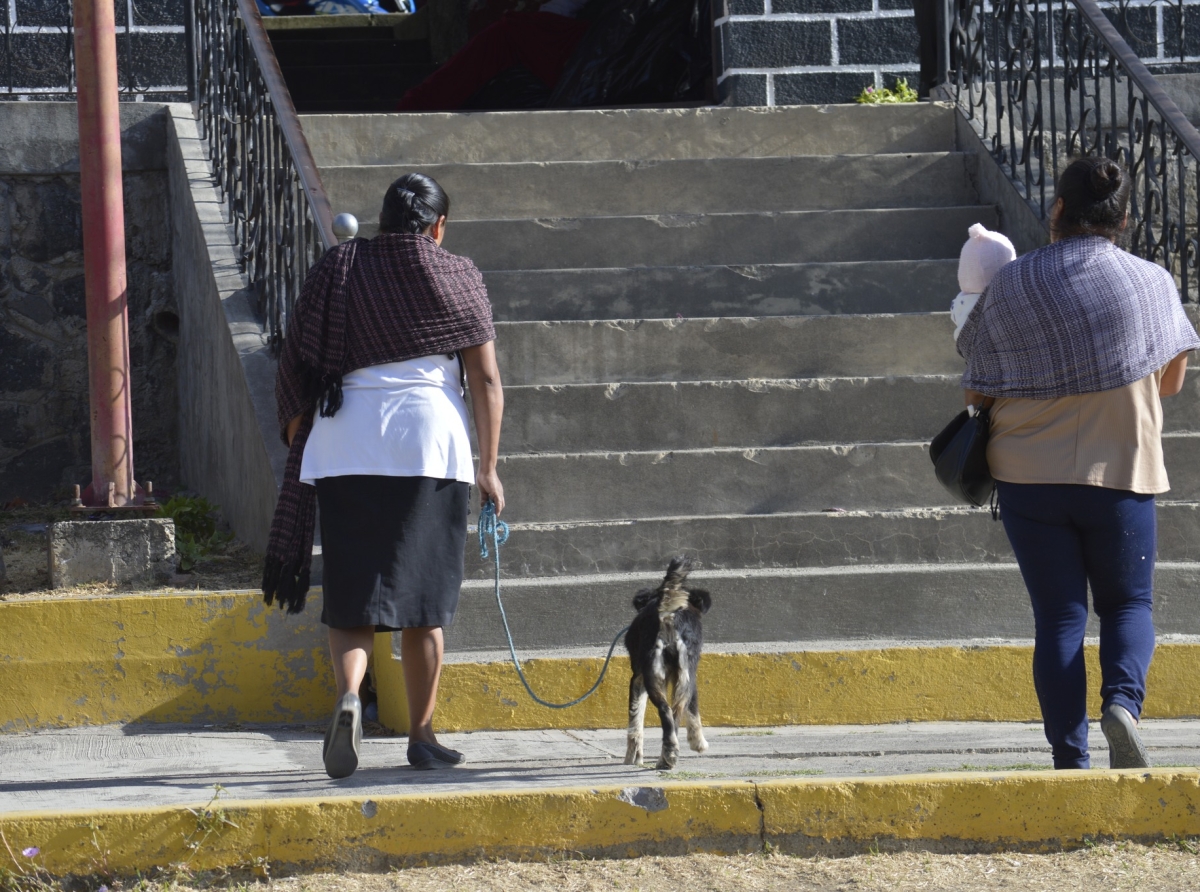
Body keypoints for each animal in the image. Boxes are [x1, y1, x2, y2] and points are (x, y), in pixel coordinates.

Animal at [624, 554, 705, 773]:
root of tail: (668, 614)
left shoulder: (639, 679)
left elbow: (635, 720)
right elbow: (693, 708)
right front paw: (698, 742)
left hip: (659, 676)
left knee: (669, 713)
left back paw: (667, 755)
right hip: (675, 675)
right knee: (673, 712)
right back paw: (668, 756)